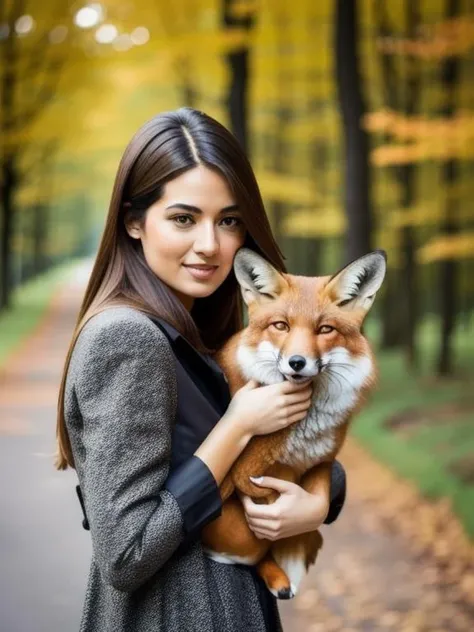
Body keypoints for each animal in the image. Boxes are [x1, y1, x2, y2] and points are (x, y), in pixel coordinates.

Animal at [202, 246, 386, 596]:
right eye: (281, 326)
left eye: (325, 330)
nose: (297, 362)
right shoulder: (247, 475)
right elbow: (257, 499)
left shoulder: (322, 463)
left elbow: (312, 508)